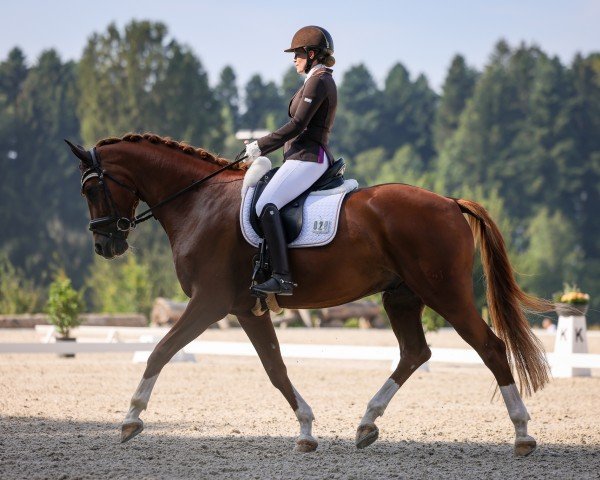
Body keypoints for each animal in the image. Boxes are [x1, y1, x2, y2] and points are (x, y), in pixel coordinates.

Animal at [64, 132, 548, 458]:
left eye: (90, 188)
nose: (105, 245)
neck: (198, 202)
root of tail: (449, 202)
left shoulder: (210, 302)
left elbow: (160, 351)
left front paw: (131, 419)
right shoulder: (247, 309)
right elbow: (275, 369)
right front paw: (306, 430)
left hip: (444, 292)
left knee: (489, 347)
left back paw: (523, 434)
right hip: (401, 296)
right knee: (415, 352)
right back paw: (366, 424)